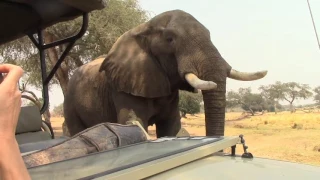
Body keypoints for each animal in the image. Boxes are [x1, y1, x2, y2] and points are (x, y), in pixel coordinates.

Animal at [63, 9, 268, 137]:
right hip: (70, 101)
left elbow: (171, 127)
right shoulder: (122, 87)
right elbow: (132, 123)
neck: (144, 27)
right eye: (170, 39)